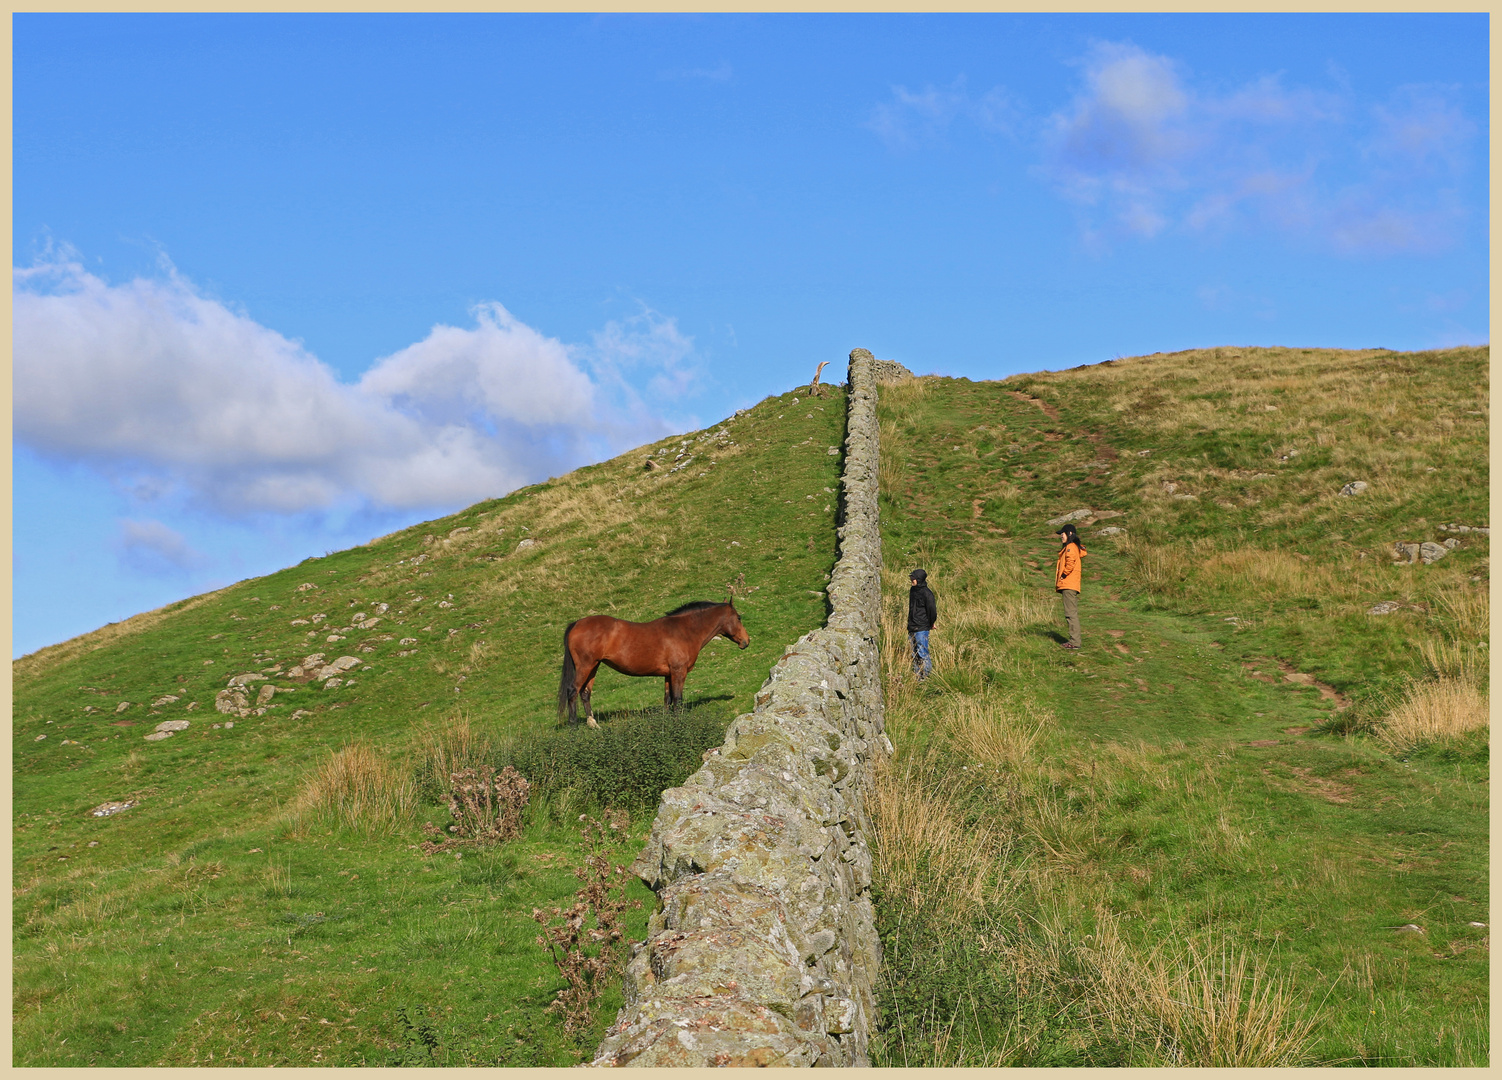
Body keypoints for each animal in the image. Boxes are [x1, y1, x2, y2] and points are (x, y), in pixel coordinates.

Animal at [558, 600, 751, 727]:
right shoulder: (679, 672)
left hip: (594, 666)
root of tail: (577, 624)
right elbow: (678, 699)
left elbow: (668, 699)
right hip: (585, 666)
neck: (684, 631)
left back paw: (593, 725)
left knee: (585, 693)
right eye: (739, 617)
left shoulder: (668, 674)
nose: (746, 641)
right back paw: (574, 726)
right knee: (572, 691)